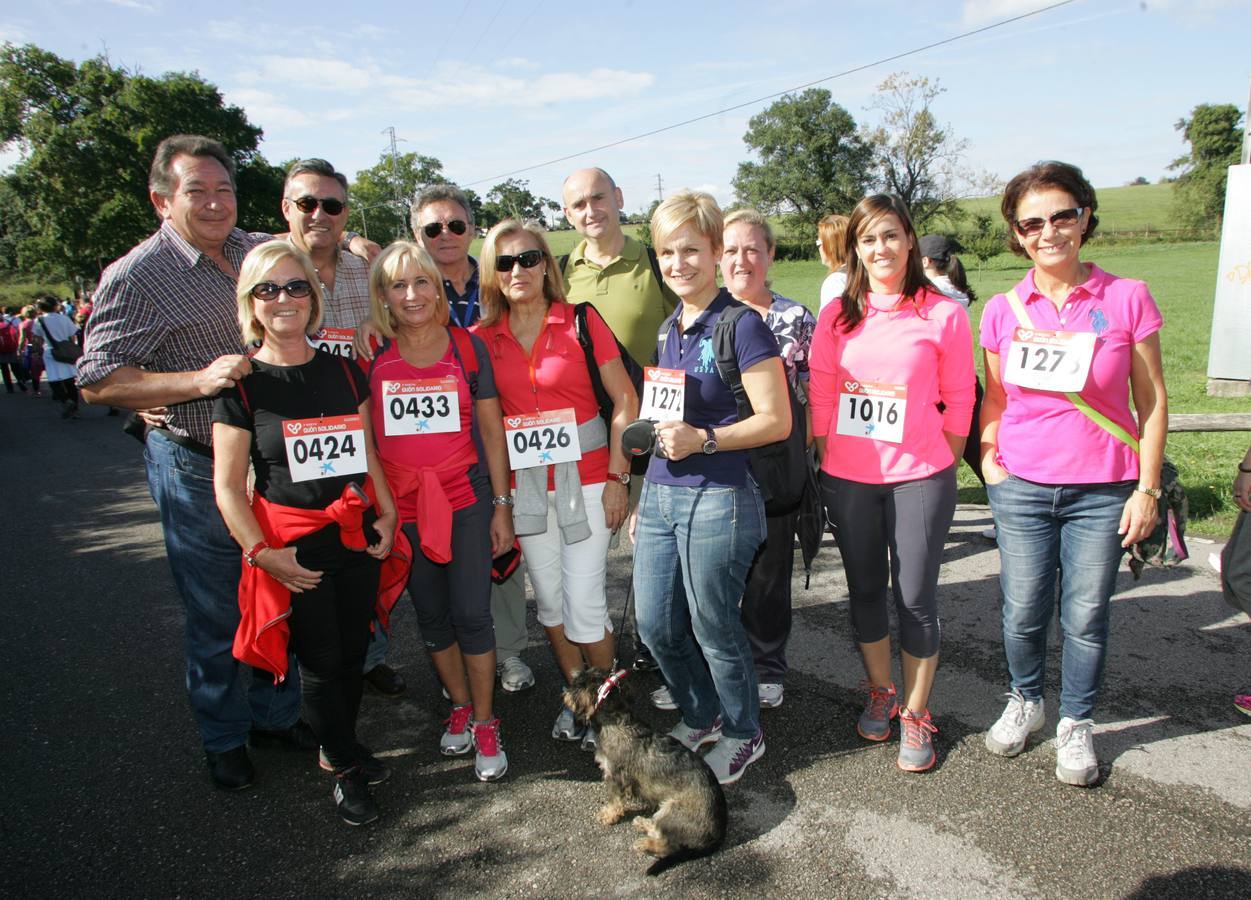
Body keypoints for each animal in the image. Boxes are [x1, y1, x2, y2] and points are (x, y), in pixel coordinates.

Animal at [565, 670, 730, 871]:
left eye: (578, 684)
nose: (565, 692)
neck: (617, 721)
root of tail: (717, 836)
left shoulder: (615, 776)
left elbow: (614, 801)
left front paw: (608, 815)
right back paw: (644, 823)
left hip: (671, 812)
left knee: (668, 846)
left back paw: (644, 844)